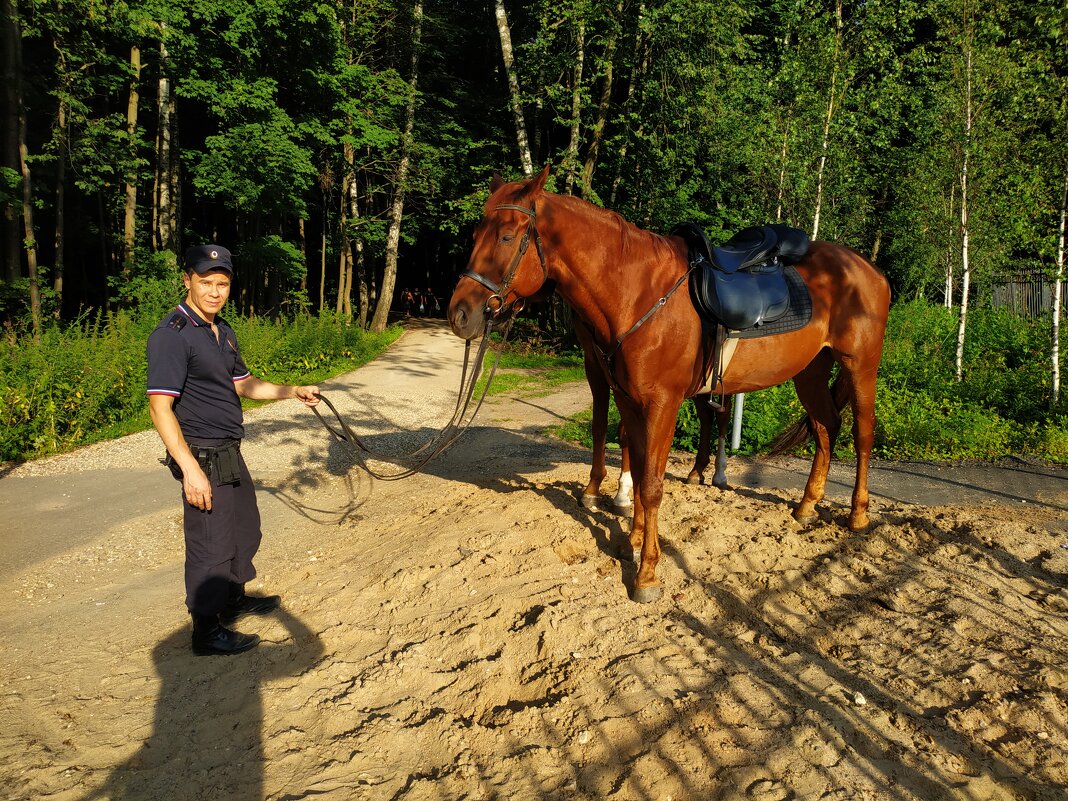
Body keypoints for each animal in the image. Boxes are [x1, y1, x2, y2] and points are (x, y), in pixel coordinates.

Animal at [452, 170, 892, 606]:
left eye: (507, 236)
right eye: (476, 234)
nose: (460, 314)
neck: (635, 292)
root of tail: (870, 271)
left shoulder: (662, 403)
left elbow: (651, 485)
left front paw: (646, 574)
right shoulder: (629, 400)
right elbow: (635, 461)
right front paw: (630, 542)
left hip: (860, 367)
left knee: (861, 433)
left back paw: (857, 514)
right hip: (810, 372)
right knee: (826, 428)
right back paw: (806, 505)